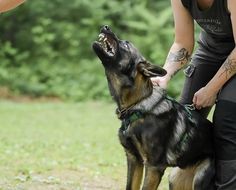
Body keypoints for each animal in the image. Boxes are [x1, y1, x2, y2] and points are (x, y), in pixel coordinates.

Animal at [92, 25, 216, 190]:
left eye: (126, 44)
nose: (105, 27)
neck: (137, 105)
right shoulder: (134, 159)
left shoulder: (153, 166)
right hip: (175, 179)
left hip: (200, 178)